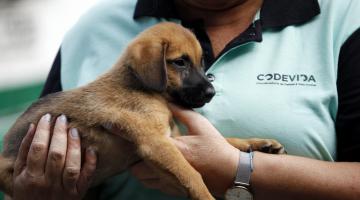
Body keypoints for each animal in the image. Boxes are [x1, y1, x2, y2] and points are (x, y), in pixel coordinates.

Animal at [0, 22, 284, 199]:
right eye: (180, 62)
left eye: (200, 61)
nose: (211, 93)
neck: (142, 88)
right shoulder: (156, 143)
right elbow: (192, 174)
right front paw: (205, 195)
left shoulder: (173, 138)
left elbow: (227, 140)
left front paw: (260, 144)